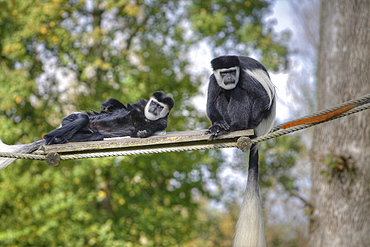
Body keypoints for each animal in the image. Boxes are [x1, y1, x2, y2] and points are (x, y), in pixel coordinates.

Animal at [0, 91, 175, 170]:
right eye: (153, 103)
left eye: (160, 107)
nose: (153, 108)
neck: (146, 116)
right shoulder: (141, 104)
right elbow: (122, 107)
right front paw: (109, 103)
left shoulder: (161, 123)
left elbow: (144, 130)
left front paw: (143, 133)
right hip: (69, 118)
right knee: (83, 117)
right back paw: (51, 137)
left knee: (95, 135)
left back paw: (56, 139)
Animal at [207, 55, 276, 247]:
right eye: (224, 73)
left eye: (232, 71)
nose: (230, 78)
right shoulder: (213, 80)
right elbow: (212, 102)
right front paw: (216, 126)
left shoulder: (246, 77)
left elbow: (262, 97)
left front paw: (248, 122)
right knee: (222, 94)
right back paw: (225, 126)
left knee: (239, 92)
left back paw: (239, 126)